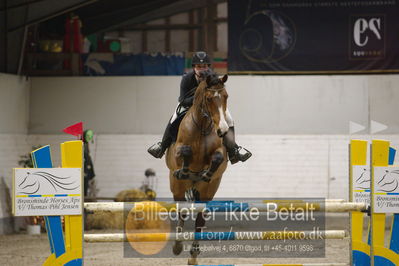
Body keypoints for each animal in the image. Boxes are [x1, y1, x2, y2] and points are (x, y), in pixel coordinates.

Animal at [165, 70, 228, 264]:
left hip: (208, 191)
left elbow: (217, 157)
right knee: (182, 211)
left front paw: (206, 173)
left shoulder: (219, 153)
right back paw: (177, 246)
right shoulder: (178, 149)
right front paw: (184, 170)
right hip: (177, 187)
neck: (201, 126)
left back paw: (193, 255)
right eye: (208, 98)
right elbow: (184, 151)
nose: (223, 129)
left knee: (200, 218)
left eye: (226, 96)